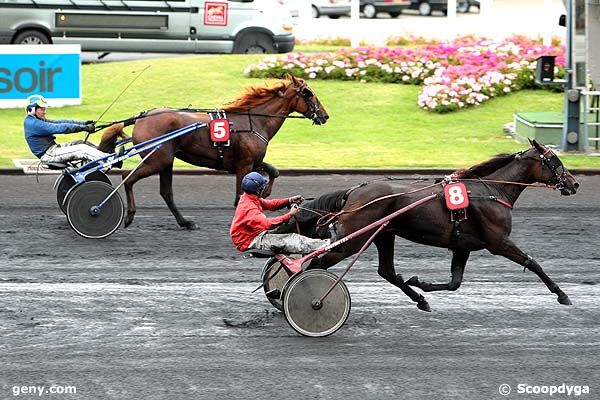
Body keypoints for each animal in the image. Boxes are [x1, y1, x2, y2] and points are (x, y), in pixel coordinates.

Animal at [101, 75, 330, 230]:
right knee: (127, 178)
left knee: (166, 192)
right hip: (157, 160)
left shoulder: (252, 161)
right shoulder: (244, 164)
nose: (325, 115)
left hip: (166, 161)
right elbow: (239, 196)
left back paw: (185, 222)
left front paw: (265, 191)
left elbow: (273, 171)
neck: (254, 121)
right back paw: (129, 215)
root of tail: (142, 116)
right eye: (308, 93)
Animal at [284, 141, 580, 312]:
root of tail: (353, 191)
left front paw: (421, 283)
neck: (491, 191)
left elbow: (454, 282)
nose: (574, 183)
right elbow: (533, 263)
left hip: (384, 234)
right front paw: (562, 294)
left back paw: (419, 299)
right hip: (353, 240)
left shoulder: (463, 245)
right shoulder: (498, 242)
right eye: (554, 161)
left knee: (387, 271)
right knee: (317, 263)